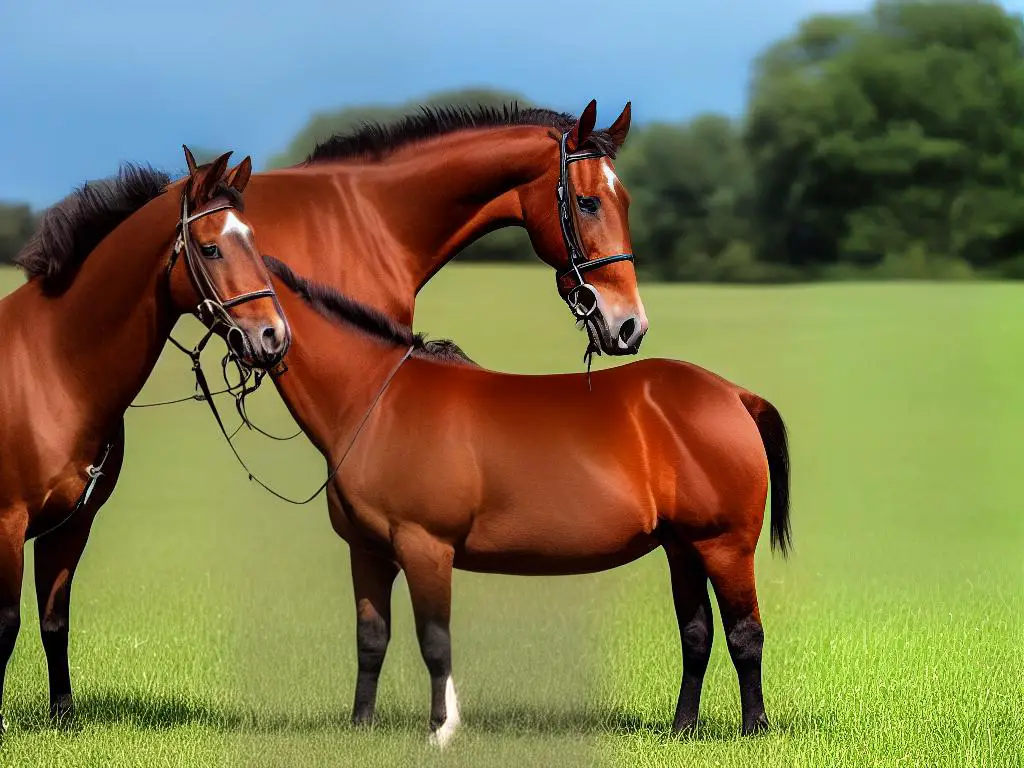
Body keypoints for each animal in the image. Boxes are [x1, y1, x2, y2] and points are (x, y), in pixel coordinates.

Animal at [0, 148, 292, 733]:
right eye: (210, 247)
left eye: (252, 237)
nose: (274, 336)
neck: (49, 367)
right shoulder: (6, 523)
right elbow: (2, 627)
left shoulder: (71, 525)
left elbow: (53, 620)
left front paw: (63, 719)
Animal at [262, 257, 790, 745]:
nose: (259, 339)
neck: (378, 402)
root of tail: (735, 395)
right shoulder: (368, 551)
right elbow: (371, 637)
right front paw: (361, 728)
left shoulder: (423, 546)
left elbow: (433, 640)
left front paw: (440, 732)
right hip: (683, 549)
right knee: (697, 635)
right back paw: (682, 729)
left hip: (724, 546)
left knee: (746, 634)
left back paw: (755, 729)